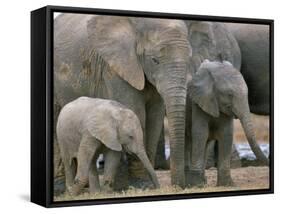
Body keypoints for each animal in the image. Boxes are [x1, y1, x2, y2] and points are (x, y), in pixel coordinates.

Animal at [53, 13, 191, 187]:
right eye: (155, 60)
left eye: (189, 59)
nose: (177, 186)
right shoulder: (115, 67)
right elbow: (137, 112)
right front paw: (142, 185)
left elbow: (155, 118)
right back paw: (62, 188)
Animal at [185, 59, 268, 187]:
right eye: (229, 94)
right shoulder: (199, 102)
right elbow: (200, 133)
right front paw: (195, 185)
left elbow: (226, 134)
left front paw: (227, 185)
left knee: (206, 144)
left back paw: (203, 181)